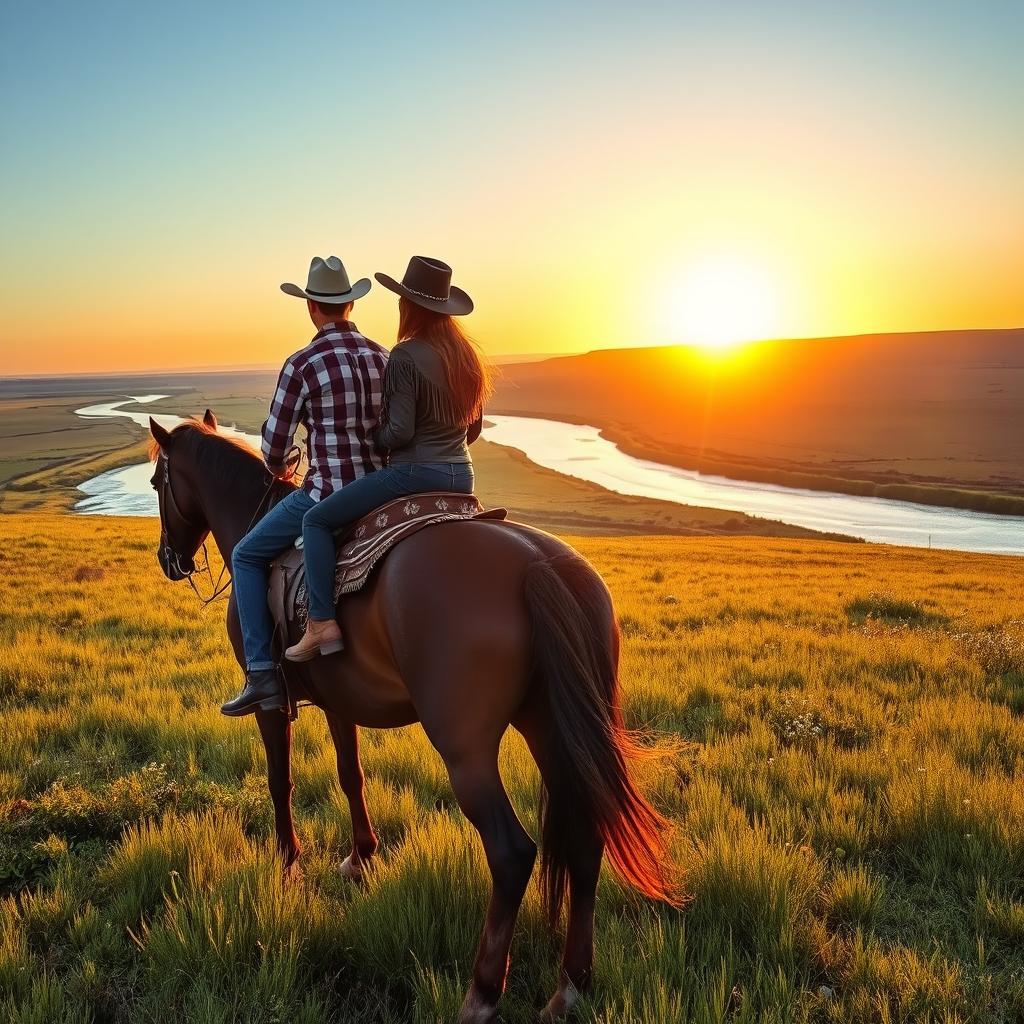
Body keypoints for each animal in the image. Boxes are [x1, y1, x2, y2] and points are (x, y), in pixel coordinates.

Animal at [144, 411, 671, 1024]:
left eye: (157, 483)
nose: (169, 561)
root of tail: (538, 565)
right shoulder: (340, 702)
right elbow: (351, 775)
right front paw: (360, 858)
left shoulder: (271, 705)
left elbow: (280, 781)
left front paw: (287, 866)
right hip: (553, 728)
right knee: (586, 837)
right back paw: (570, 988)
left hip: (466, 749)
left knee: (512, 853)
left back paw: (481, 994)